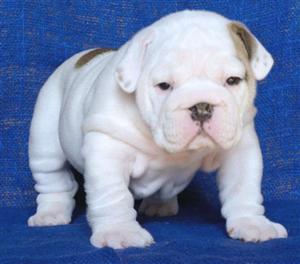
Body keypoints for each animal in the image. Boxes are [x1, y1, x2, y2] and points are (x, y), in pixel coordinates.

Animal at [28, 10, 288, 249]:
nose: (201, 106)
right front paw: (119, 231)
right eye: (164, 86)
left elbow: (243, 186)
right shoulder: (107, 150)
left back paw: (159, 205)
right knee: (53, 179)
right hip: (46, 139)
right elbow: (112, 194)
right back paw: (50, 213)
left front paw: (251, 222)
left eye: (233, 80)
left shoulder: (240, 148)